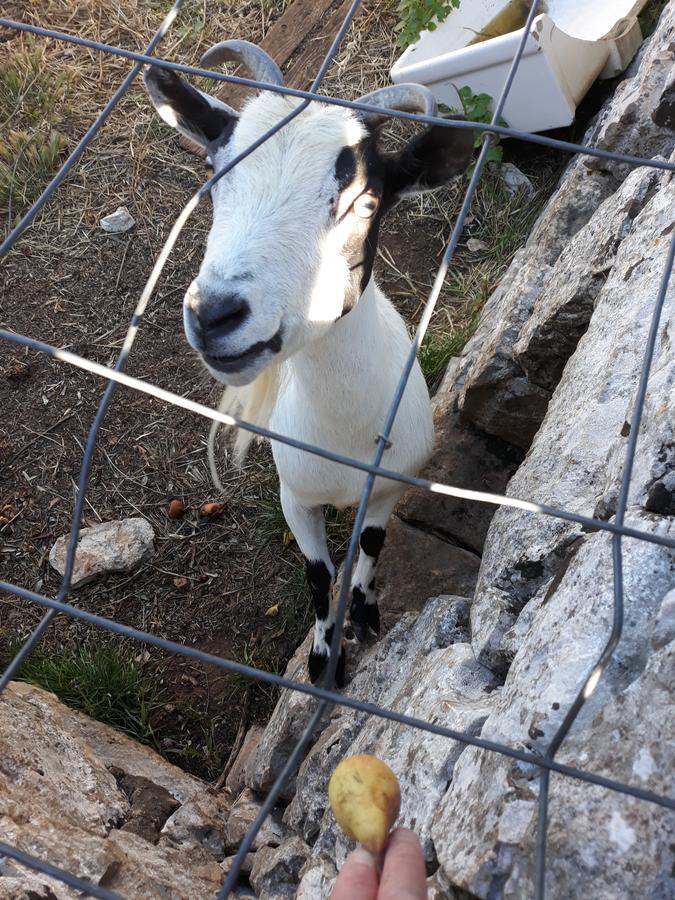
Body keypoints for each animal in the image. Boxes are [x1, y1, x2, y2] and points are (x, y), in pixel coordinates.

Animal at [145, 42, 472, 684]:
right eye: (216, 178)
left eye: (365, 202)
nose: (214, 314)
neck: (344, 440)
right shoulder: (295, 496)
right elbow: (318, 576)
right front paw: (324, 659)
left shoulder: (390, 487)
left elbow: (370, 551)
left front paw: (365, 616)